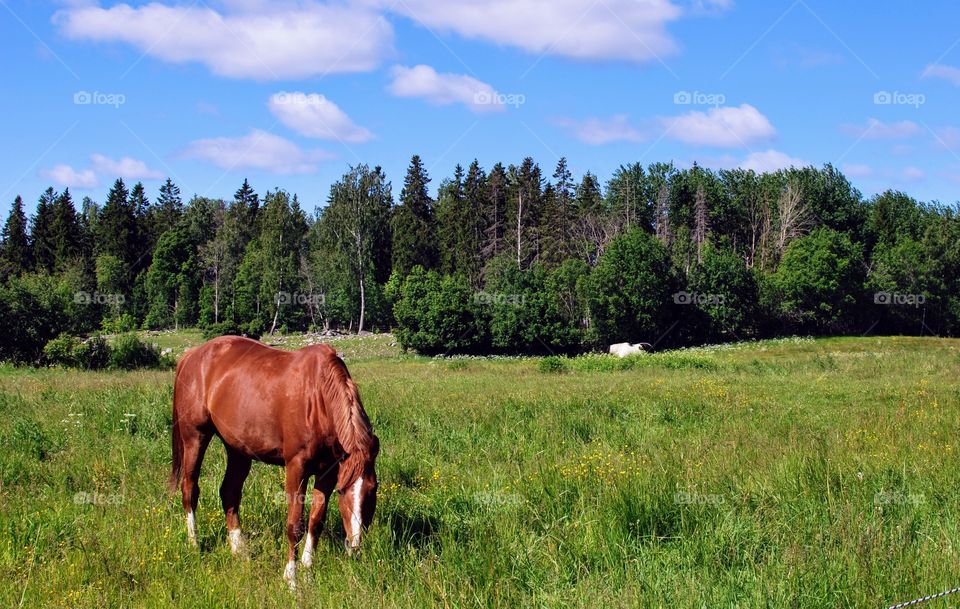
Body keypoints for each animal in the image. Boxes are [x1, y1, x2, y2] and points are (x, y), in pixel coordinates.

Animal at [169, 336, 379, 589]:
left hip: (238, 449)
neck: (318, 397)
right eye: (342, 491)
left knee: (229, 492)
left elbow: (316, 520)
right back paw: (195, 544)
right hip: (195, 437)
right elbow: (294, 525)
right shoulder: (296, 467)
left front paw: (307, 570)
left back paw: (240, 551)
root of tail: (191, 355)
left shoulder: (328, 471)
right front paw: (292, 579)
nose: (355, 546)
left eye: (373, 489)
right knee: (189, 488)